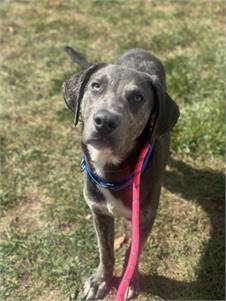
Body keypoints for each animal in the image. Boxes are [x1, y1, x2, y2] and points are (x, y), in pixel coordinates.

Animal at [62, 45, 180, 298]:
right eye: (96, 85)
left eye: (138, 97)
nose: (105, 121)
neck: (113, 172)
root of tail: (140, 49)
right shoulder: (99, 212)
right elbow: (105, 251)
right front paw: (100, 281)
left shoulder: (144, 218)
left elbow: (132, 253)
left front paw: (131, 280)